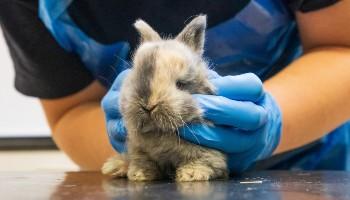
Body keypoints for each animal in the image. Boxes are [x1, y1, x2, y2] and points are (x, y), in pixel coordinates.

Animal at [101, 15, 228, 181]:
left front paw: (191, 175)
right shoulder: (138, 148)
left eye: (180, 84)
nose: (148, 105)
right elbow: (142, 160)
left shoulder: (209, 149)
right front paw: (139, 174)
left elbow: (204, 160)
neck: (160, 134)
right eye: (136, 77)